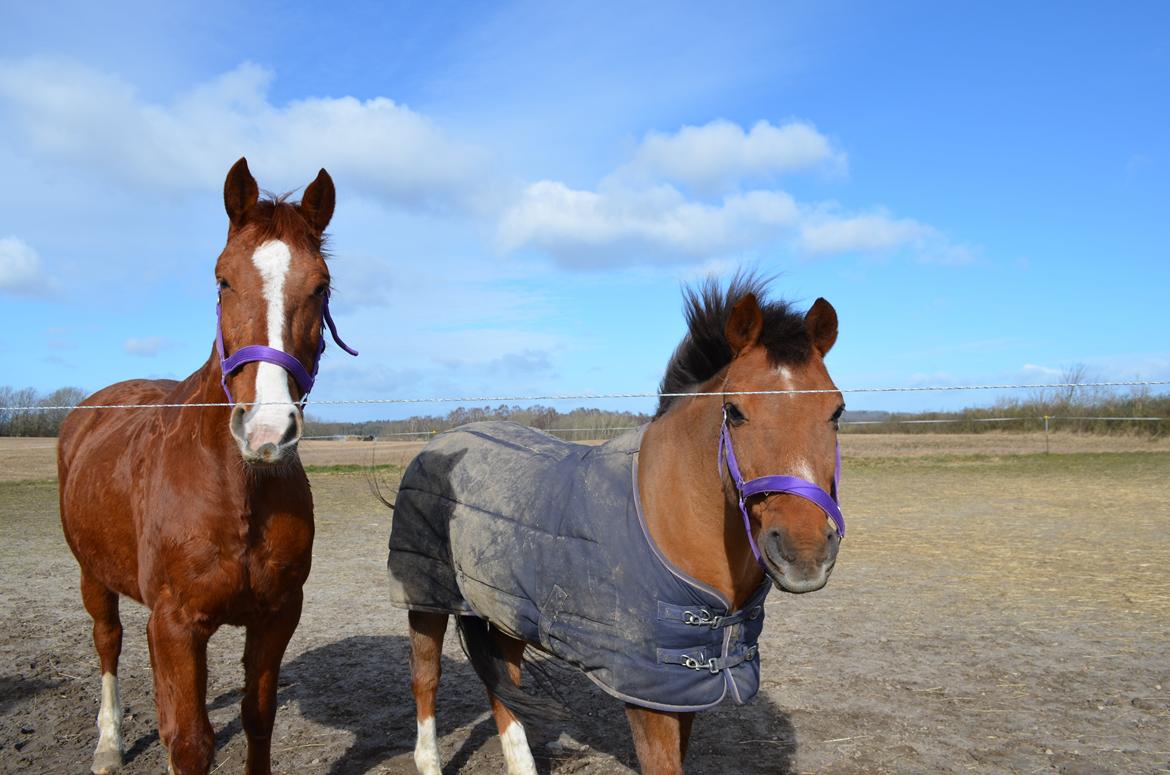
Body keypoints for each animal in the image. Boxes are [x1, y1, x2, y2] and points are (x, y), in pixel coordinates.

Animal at [60, 158, 351, 775]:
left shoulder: (276, 616)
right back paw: (108, 744)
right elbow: (190, 741)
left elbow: (257, 718)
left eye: (321, 286)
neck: (235, 490)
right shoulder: (175, 626)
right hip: (93, 574)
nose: (267, 430)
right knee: (107, 641)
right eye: (222, 280)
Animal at [388, 276, 847, 772]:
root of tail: (442, 441)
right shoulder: (648, 694)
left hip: (505, 609)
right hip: (424, 600)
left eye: (837, 411)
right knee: (426, 679)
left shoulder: (681, 691)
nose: (805, 553)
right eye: (735, 411)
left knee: (504, 684)